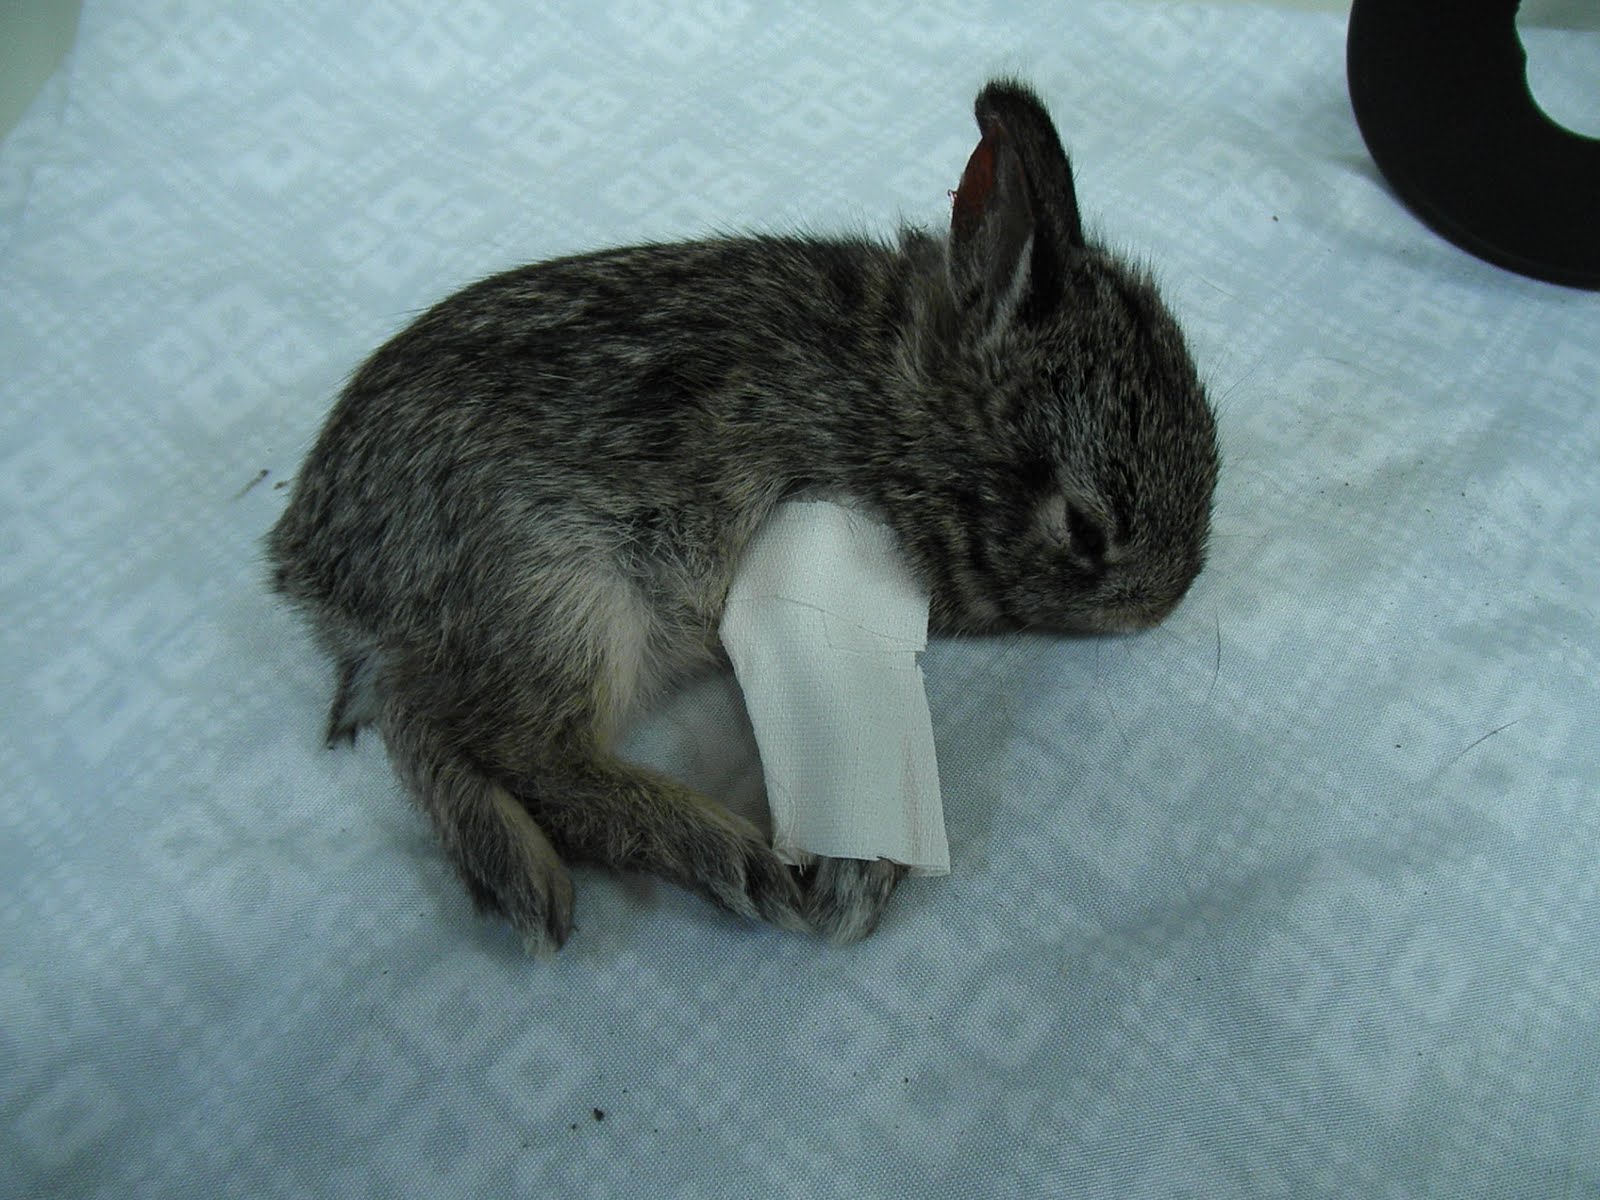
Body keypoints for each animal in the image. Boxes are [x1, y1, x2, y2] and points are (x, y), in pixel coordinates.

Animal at [266, 79, 1220, 953]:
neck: (909, 404)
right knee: (530, 755)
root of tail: (314, 563)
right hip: (560, 588)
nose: (1160, 603)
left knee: (423, 721)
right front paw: (851, 870)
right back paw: (729, 863)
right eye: (1085, 527)